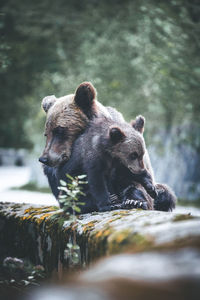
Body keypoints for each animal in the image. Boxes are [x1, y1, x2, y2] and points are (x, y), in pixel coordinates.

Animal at [38, 82, 176, 213]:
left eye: (60, 130)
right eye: (46, 133)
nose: (44, 159)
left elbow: (134, 182)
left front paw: (134, 201)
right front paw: (107, 200)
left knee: (165, 193)